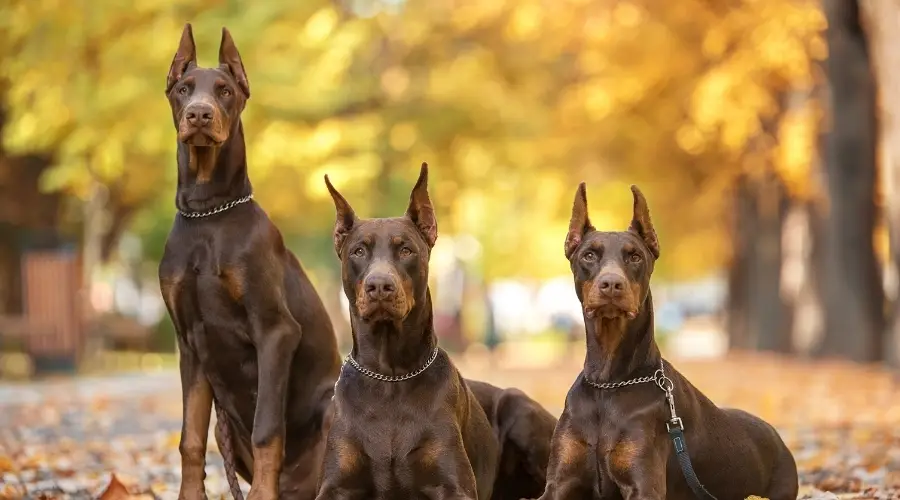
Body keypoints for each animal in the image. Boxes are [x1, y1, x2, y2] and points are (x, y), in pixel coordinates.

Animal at [158, 24, 342, 500]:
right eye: (184, 89)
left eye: (224, 91)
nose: (199, 115)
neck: (208, 213)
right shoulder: (189, 342)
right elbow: (190, 437)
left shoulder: (274, 331)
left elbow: (267, 430)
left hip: (335, 403)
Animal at [314, 164, 500, 500]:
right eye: (358, 251)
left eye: (405, 249)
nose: (379, 286)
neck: (390, 377)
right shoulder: (335, 484)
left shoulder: (453, 485)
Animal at [532, 185, 800, 500]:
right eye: (588, 255)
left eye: (635, 256)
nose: (611, 285)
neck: (608, 384)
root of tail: (781, 442)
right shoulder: (559, 482)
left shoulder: (644, 485)